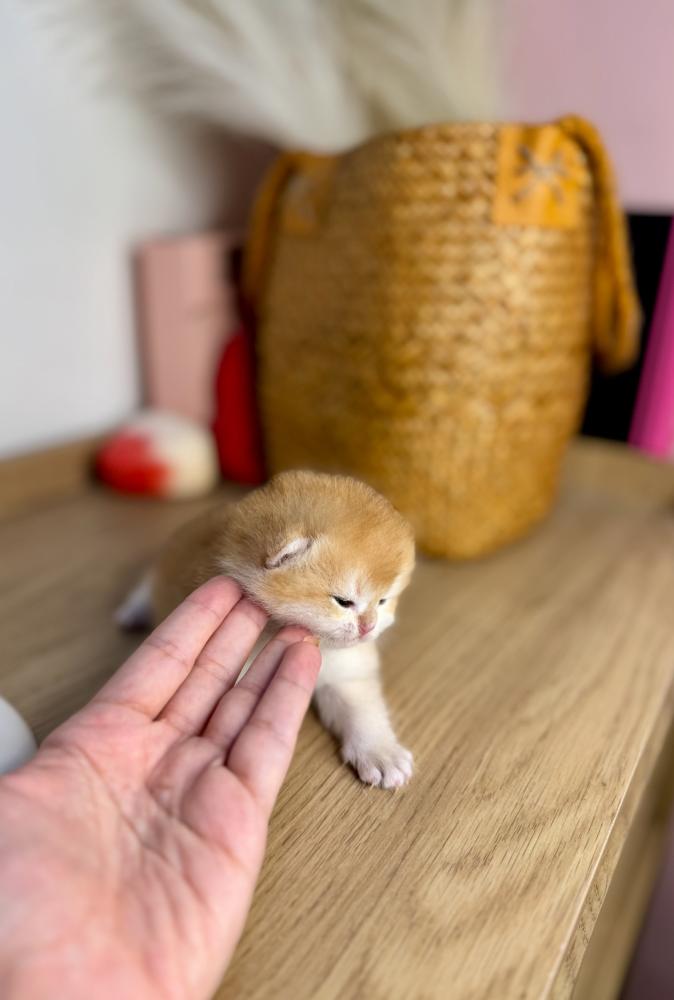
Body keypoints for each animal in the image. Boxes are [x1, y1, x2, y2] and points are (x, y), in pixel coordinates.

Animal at [118, 470, 415, 789]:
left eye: (383, 601)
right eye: (343, 601)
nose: (368, 627)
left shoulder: (347, 673)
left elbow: (362, 708)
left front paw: (381, 752)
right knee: (145, 585)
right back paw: (132, 612)